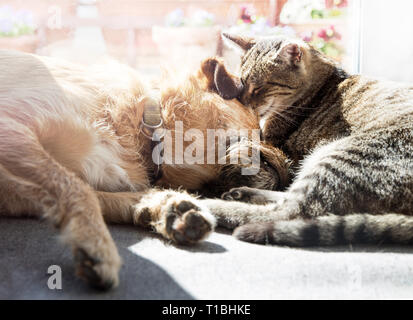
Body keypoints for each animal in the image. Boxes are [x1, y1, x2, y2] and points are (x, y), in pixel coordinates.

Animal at [202, 33, 412, 248]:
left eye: (259, 87)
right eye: (242, 84)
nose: (243, 104)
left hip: (341, 158)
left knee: (288, 212)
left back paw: (208, 205)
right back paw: (241, 194)